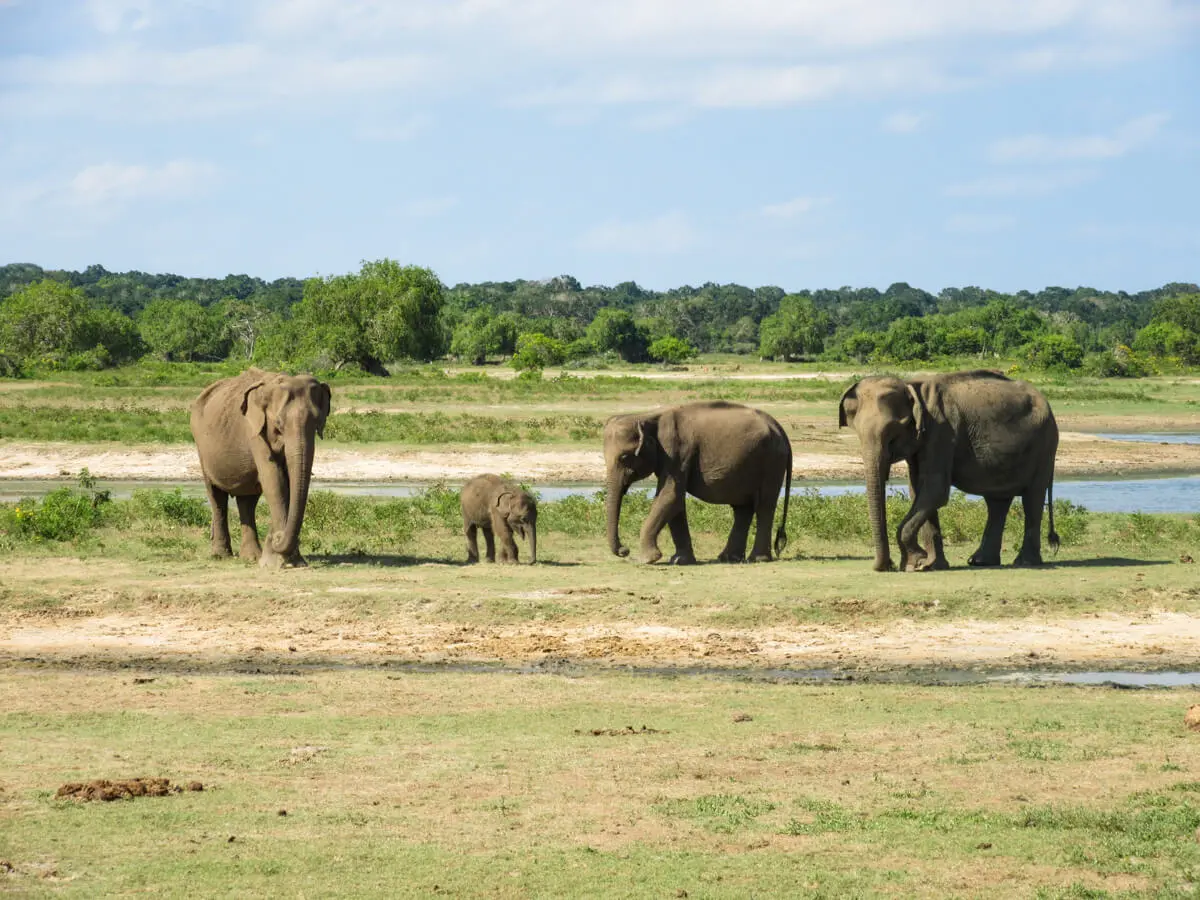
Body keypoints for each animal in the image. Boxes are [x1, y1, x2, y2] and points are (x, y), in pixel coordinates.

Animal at [192, 367, 333, 566]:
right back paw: (221, 555)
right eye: (279, 424)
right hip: (202, 449)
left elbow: (286, 483)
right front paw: (280, 561)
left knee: (247, 501)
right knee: (216, 496)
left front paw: (291, 560)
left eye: (317, 423)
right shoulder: (253, 430)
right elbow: (274, 480)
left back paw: (251, 557)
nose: (275, 537)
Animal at [604, 400, 792, 564]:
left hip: (772, 461)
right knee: (743, 508)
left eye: (624, 457)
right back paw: (728, 558)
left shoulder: (676, 452)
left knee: (765, 505)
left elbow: (670, 496)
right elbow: (676, 502)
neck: (646, 417)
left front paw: (645, 560)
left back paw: (757, 559)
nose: (624, 550)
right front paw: (679, 561)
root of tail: (778, 427)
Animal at [835, 372, 1060, 571]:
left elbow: (934, 491)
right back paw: (980, 561)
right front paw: (928, 565)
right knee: (997, 502)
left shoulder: (941, 432)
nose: (887, 566)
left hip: (1044, 446)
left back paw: (1025, 562)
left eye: (893, 435)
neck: (911, 387)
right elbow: (918, 491)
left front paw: (916, 562)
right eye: (857, 434)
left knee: (1032, 498)